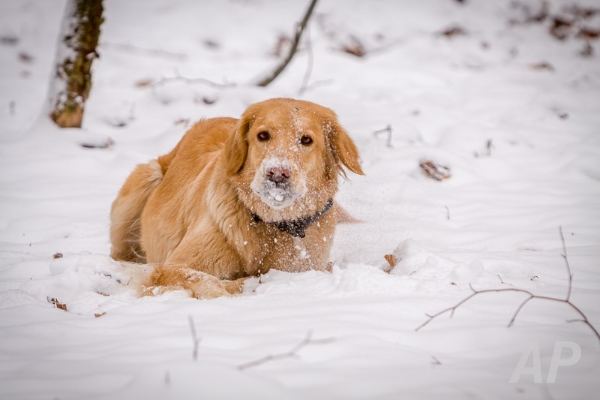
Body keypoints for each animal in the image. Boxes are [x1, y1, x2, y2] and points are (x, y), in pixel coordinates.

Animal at [110, 98, 364, 298]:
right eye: (263, 135)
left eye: (306, 140)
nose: (277, 173)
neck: (268, 223)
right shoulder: (171, 268)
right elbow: (212, 284)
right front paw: (243, 285)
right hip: (144, 180)